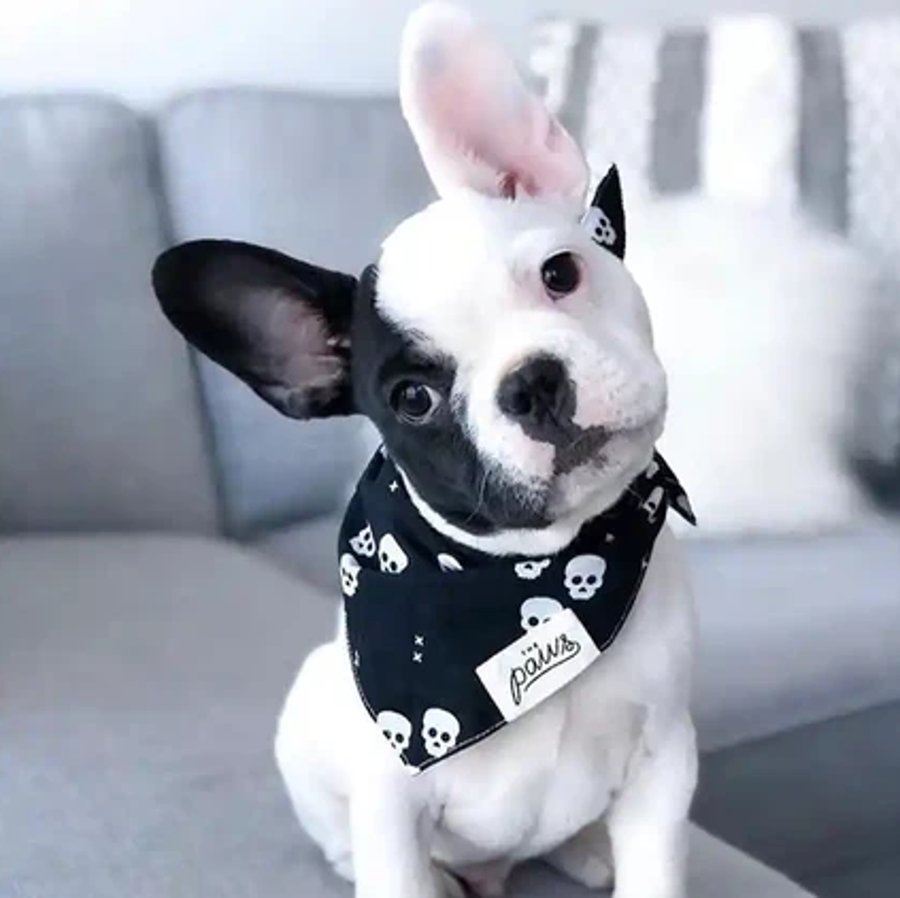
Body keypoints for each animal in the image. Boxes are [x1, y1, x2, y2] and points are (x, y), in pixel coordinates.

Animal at [149, 3, 696, 892]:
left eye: (561, 273)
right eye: (414, 399)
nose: (533, 383)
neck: (537, 577)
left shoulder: (662, 762)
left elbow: (656, 868)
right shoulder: (390, 799)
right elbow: (394, 865)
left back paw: (585, 847)